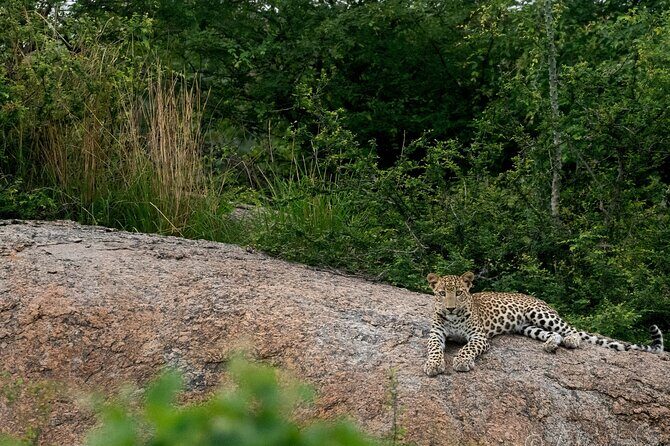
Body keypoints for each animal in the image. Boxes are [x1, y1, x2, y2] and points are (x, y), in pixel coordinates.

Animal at [424, 271, 664, 375]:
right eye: (442, 293)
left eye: (460, 293)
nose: (450, 308)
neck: (454, 318)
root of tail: (539, 299)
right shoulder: (436, 334)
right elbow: (434, 348)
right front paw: (433, 365)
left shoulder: (479, 337)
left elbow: (467, 348)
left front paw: (461, 361)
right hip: (527, 327)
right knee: (552, 334)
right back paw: (550, 345)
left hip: (540, 314)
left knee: (569, 329)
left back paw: (571, 340)